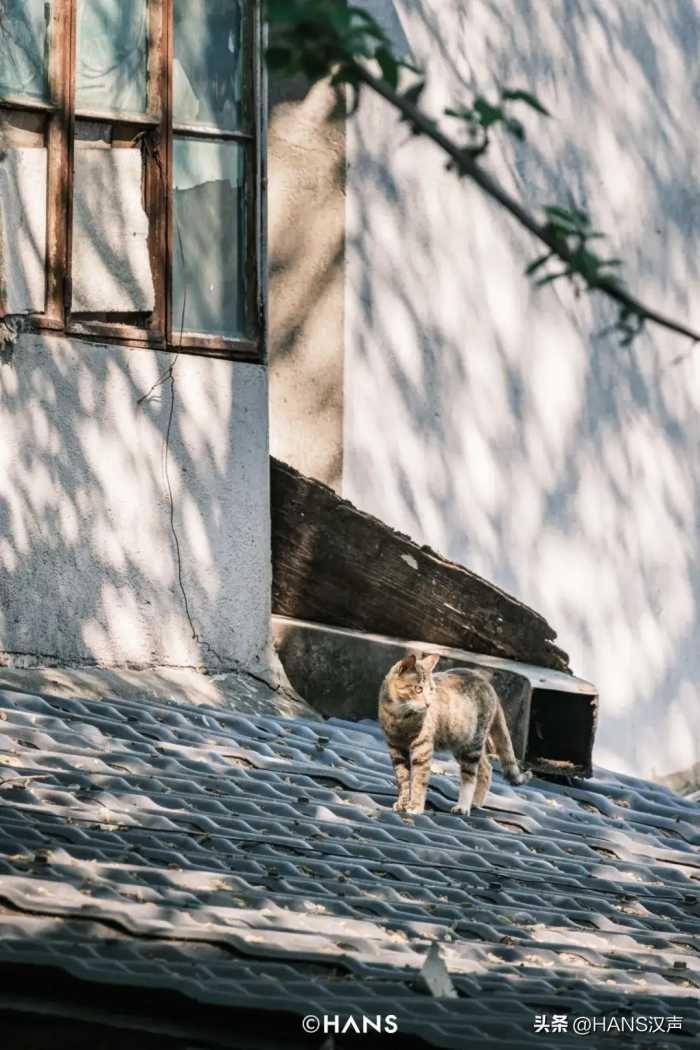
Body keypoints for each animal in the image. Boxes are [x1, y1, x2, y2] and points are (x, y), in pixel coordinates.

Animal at [377, 651, 531, 814]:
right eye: (418, 689)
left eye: (431, 690)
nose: (428, 704)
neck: (399, 715)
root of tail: (488, 684)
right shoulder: (395, 747)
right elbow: (402, 778)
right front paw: (403, 803)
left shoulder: (422, 746)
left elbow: (419, 778)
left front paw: (415, 806)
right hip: (460, 743)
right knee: (486, 768)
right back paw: (475, 802)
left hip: (472, 743)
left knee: (470, 776)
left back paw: (463, 806)